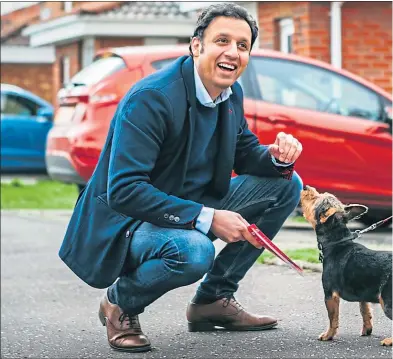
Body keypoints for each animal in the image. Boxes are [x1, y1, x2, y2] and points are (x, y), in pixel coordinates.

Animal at [300, 186, 388, 346]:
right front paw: (367, 329)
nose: (306, 187)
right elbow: (364, 310)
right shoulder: (362, 292)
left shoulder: (330, 294)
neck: (338, 242)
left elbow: (333, 318)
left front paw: (328, 335)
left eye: (315, 199)